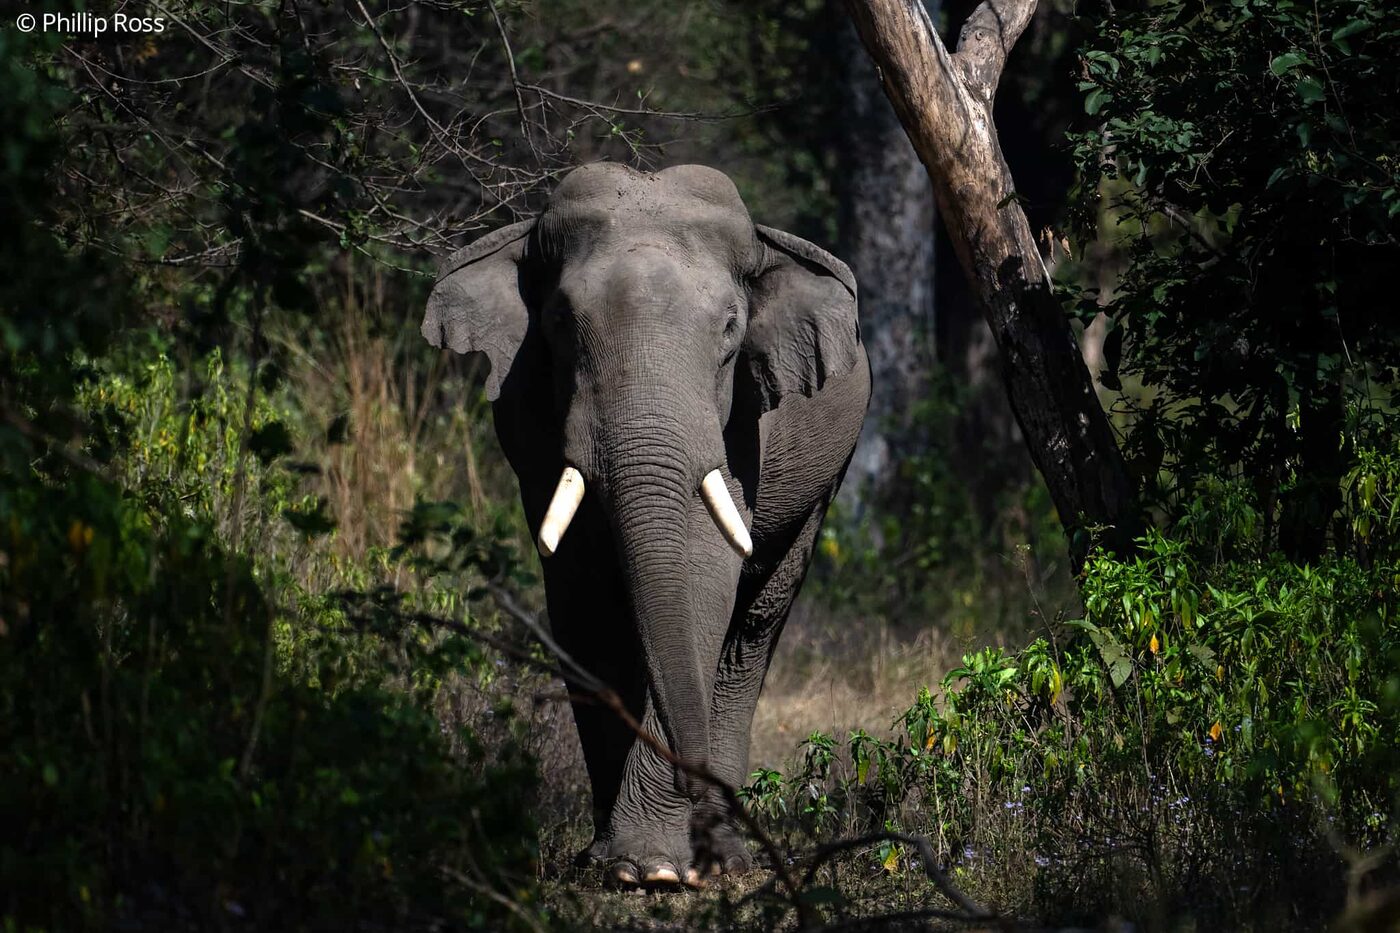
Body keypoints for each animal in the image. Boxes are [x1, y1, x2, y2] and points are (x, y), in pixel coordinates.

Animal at [421, 162, 870, 887]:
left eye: (730, 329)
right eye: (558, 321)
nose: (692, 787)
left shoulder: (741, 425)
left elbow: (702, 577)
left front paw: (655, 870)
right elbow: (579, 594)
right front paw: (620, 864)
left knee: (750, 633)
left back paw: (725, 854)